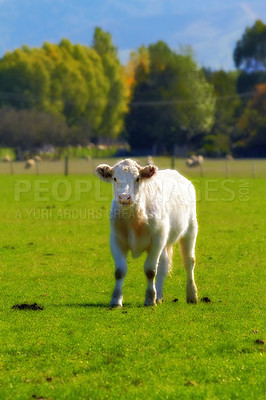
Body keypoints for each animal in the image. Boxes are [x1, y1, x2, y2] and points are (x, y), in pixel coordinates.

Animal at [95, 159, 197, 306]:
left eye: (137, 178)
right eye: (114, 178)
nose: (124, 197)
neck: (135, 220)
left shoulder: (157, 241)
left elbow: (150, 270)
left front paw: (149, 299)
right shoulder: (116, 240)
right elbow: (120, 271)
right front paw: (116, 300)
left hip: (190, 230)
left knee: (189, 262)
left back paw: (192, 295)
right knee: (163, 266)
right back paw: (159, 296)